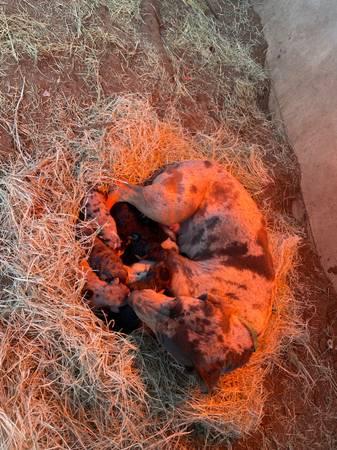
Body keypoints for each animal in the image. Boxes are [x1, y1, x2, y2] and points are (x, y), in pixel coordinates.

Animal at [106, 159, 274, 390]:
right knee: (123, 189)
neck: (235, 311)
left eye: (163, 338)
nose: (134, 299)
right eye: (176, 305)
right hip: (170, 205)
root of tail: (190, 162)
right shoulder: (185, 272)